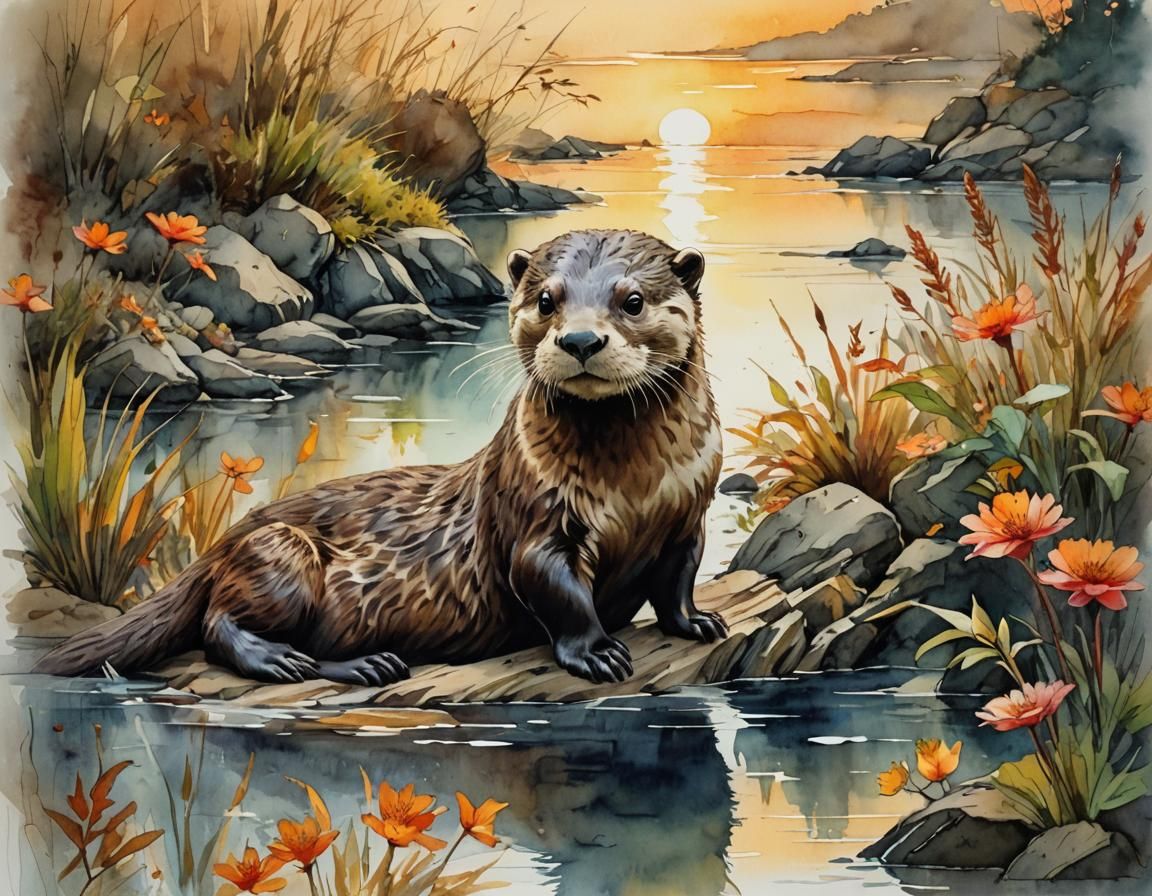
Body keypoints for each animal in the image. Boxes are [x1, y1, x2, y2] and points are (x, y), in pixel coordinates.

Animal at [34, 229, 727, 686]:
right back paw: (287, 659)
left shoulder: (688, 512)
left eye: (632, 300)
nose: (580, 339)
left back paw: (370, 664)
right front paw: (596, 652)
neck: (633, 490)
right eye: (546, 300)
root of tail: (222, 545)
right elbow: (557, 590)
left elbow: (678, 579)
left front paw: (696, 623)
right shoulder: (535, 517)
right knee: (216, 624)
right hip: (281, 555)